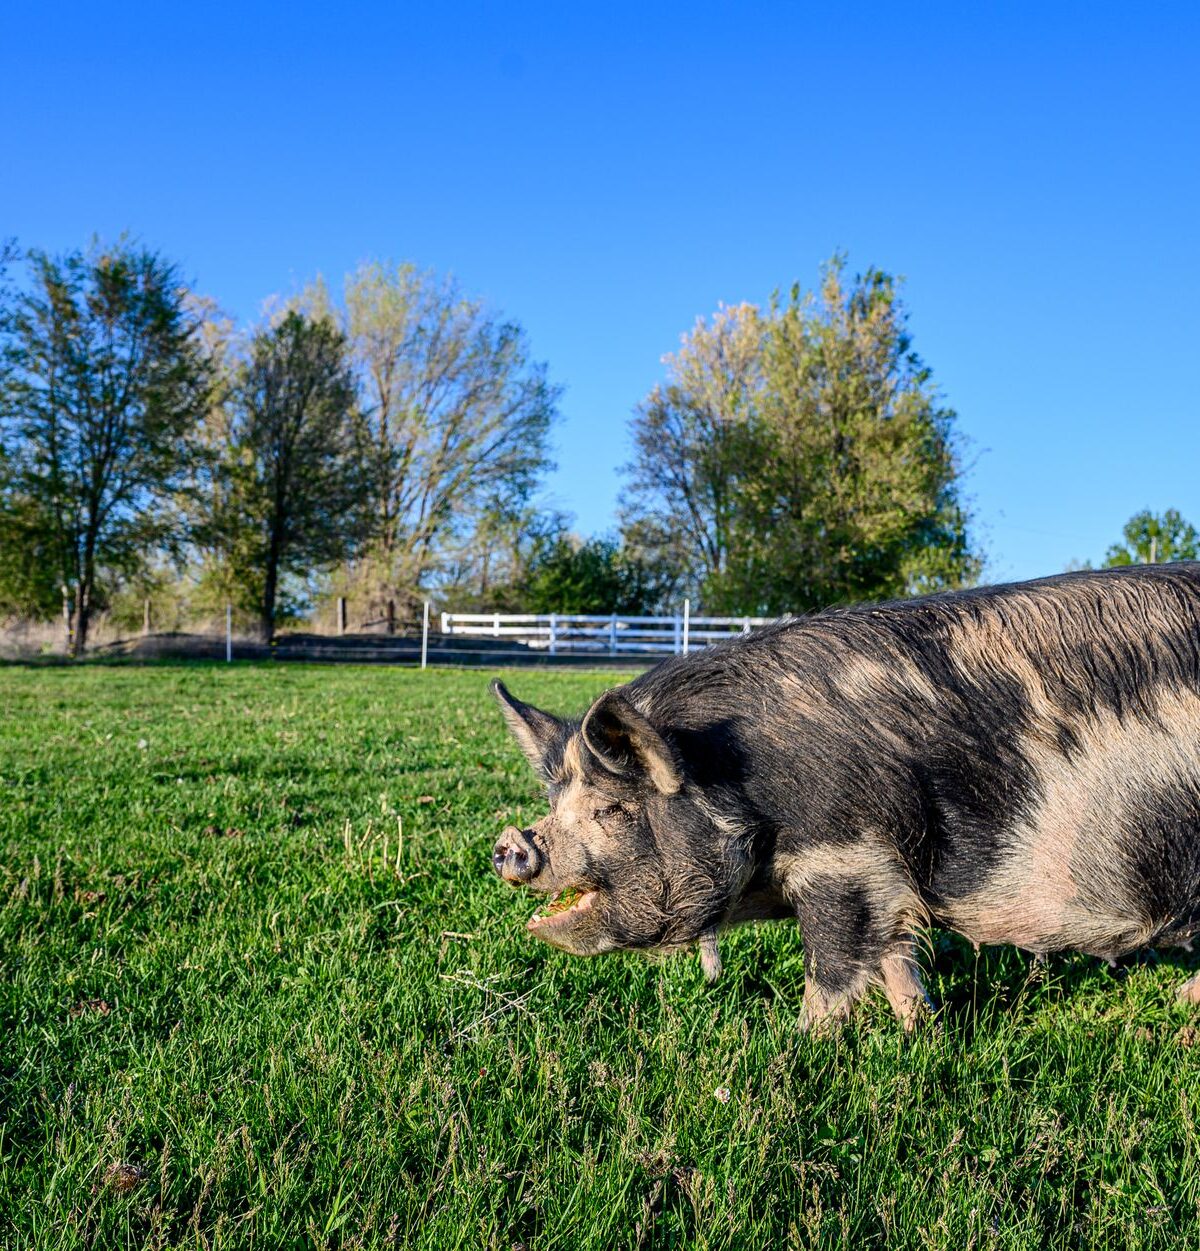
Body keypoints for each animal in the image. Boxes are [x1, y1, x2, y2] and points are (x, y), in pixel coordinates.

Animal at [490, 563, 1200, 1030]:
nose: (509, 845)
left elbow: (833, 967)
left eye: (613, 809)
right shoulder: (885, 878)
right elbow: (895, 956)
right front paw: (923, 1033)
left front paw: (803, 1046)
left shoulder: (844, 856)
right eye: (555, 804)